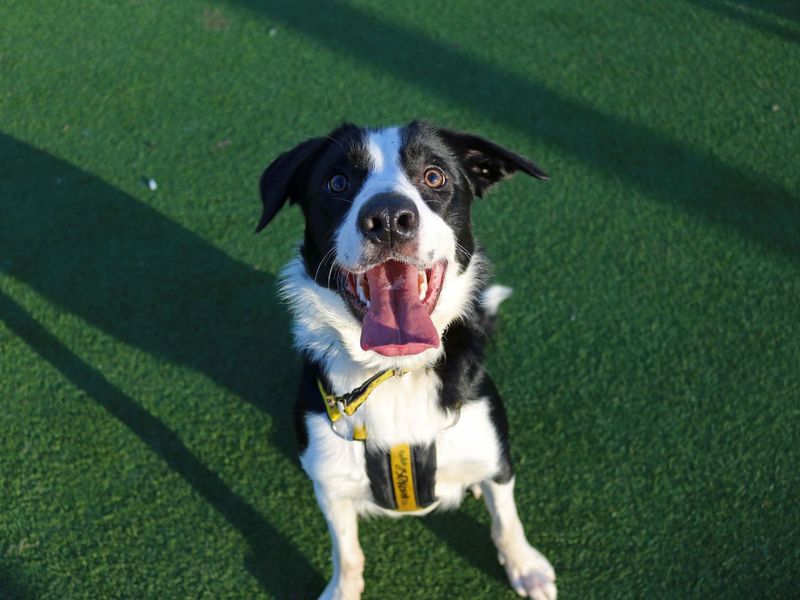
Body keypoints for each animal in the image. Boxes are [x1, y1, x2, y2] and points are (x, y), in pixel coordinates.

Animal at [256, 122, 556, 600]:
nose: (389, 218)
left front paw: (526, 567)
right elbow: (347, 551)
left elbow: (506, 520)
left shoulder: (494, 453)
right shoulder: (331, 485)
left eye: (434, 176)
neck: (396, 374)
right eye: (337, 182)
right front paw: (342, 589)